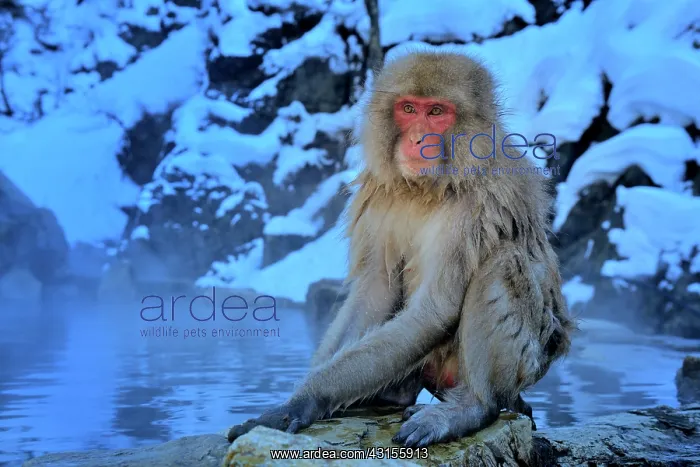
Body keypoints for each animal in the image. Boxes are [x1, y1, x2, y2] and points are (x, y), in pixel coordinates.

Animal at [226, 51, 575, 448]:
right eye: (408, 108)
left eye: (436, 112)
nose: (419, 138)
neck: (430, 187)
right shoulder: (381, 196)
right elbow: (375, 290)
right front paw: (301, 398)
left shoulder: (477, 207)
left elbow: (434, 310)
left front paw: (305, 398)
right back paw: (393, 395)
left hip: (526, 362)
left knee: (503, 261)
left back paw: (471, 406)